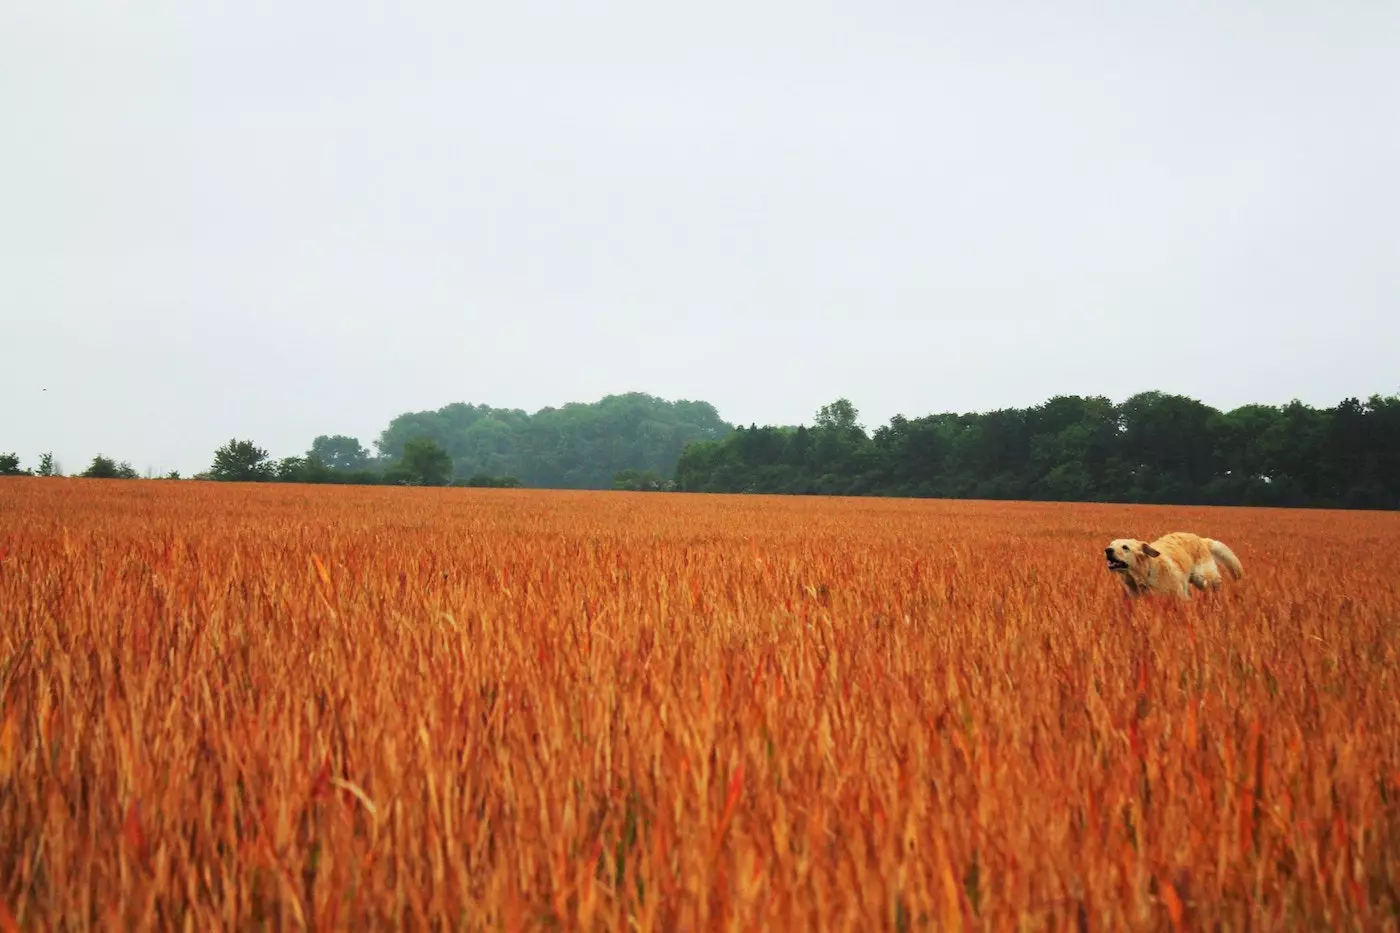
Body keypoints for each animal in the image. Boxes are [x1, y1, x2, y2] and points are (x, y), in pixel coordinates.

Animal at [1103, 529, 1248, 596]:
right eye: (1111, 544)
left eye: (1125, 547)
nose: (1107, 550)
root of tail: (1201, 539)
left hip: (1202, 578)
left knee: (1215, 583)